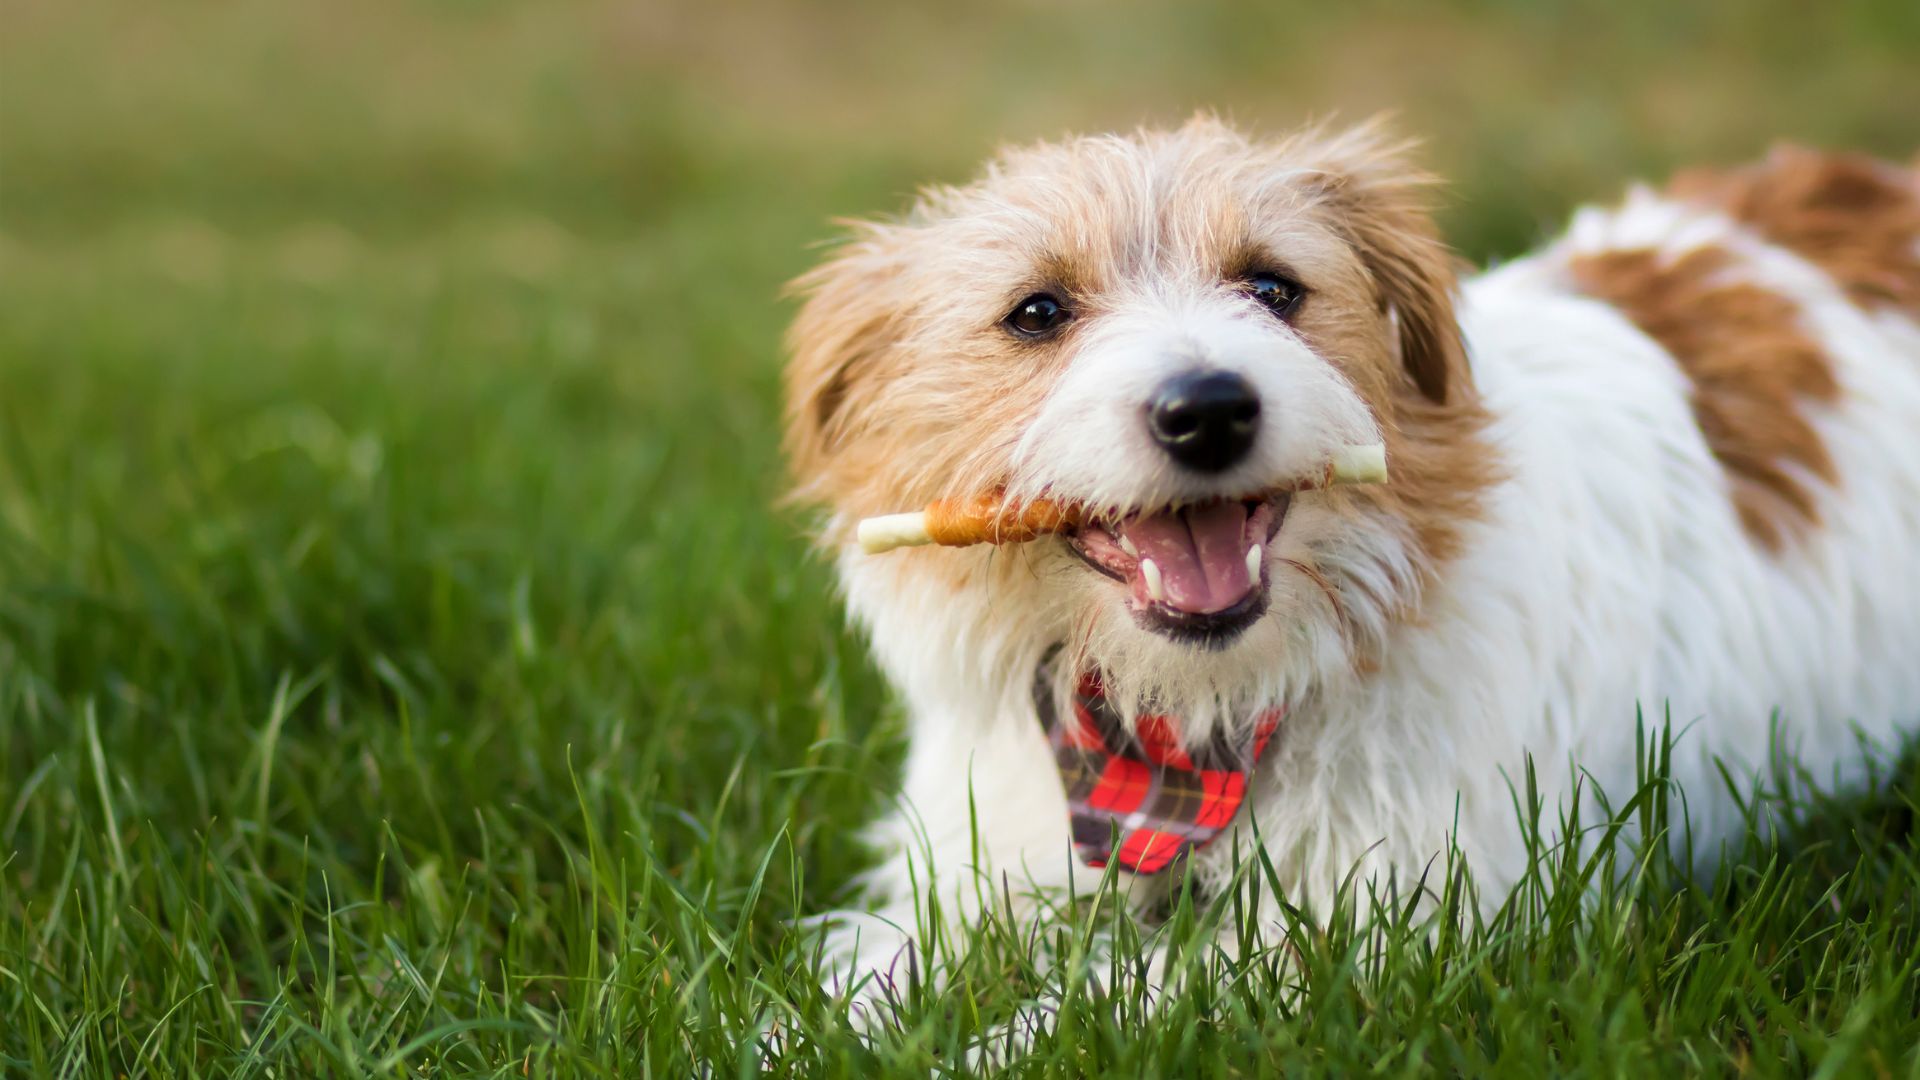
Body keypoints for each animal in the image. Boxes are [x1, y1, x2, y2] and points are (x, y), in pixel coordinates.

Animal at [779, 115, 1920, 999]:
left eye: (1274, 287)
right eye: (1038, 312)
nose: (1209, 409)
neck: (1186, 730)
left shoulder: (1376, 931)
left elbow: (1086, 1015)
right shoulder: (972, 872)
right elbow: (865, 979)